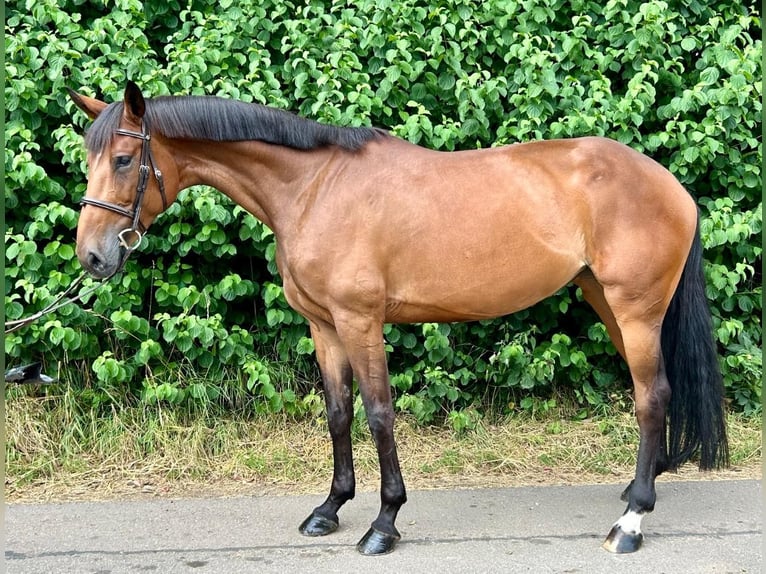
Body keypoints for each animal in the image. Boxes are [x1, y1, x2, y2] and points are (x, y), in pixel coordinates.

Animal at [69, 83, 728, 556]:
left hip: (635, 310)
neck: (313, 189)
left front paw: (384, 523)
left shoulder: (360, 322)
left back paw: (631, 522)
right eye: (88, 162)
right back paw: (637, 492)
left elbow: (379, 413)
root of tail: (671, 185)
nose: (92, 257)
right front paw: (329, 509)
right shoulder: (324, 326)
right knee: (656, 394)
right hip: (608, 303)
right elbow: (338, 414)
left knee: (651, 397)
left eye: (123, 160)